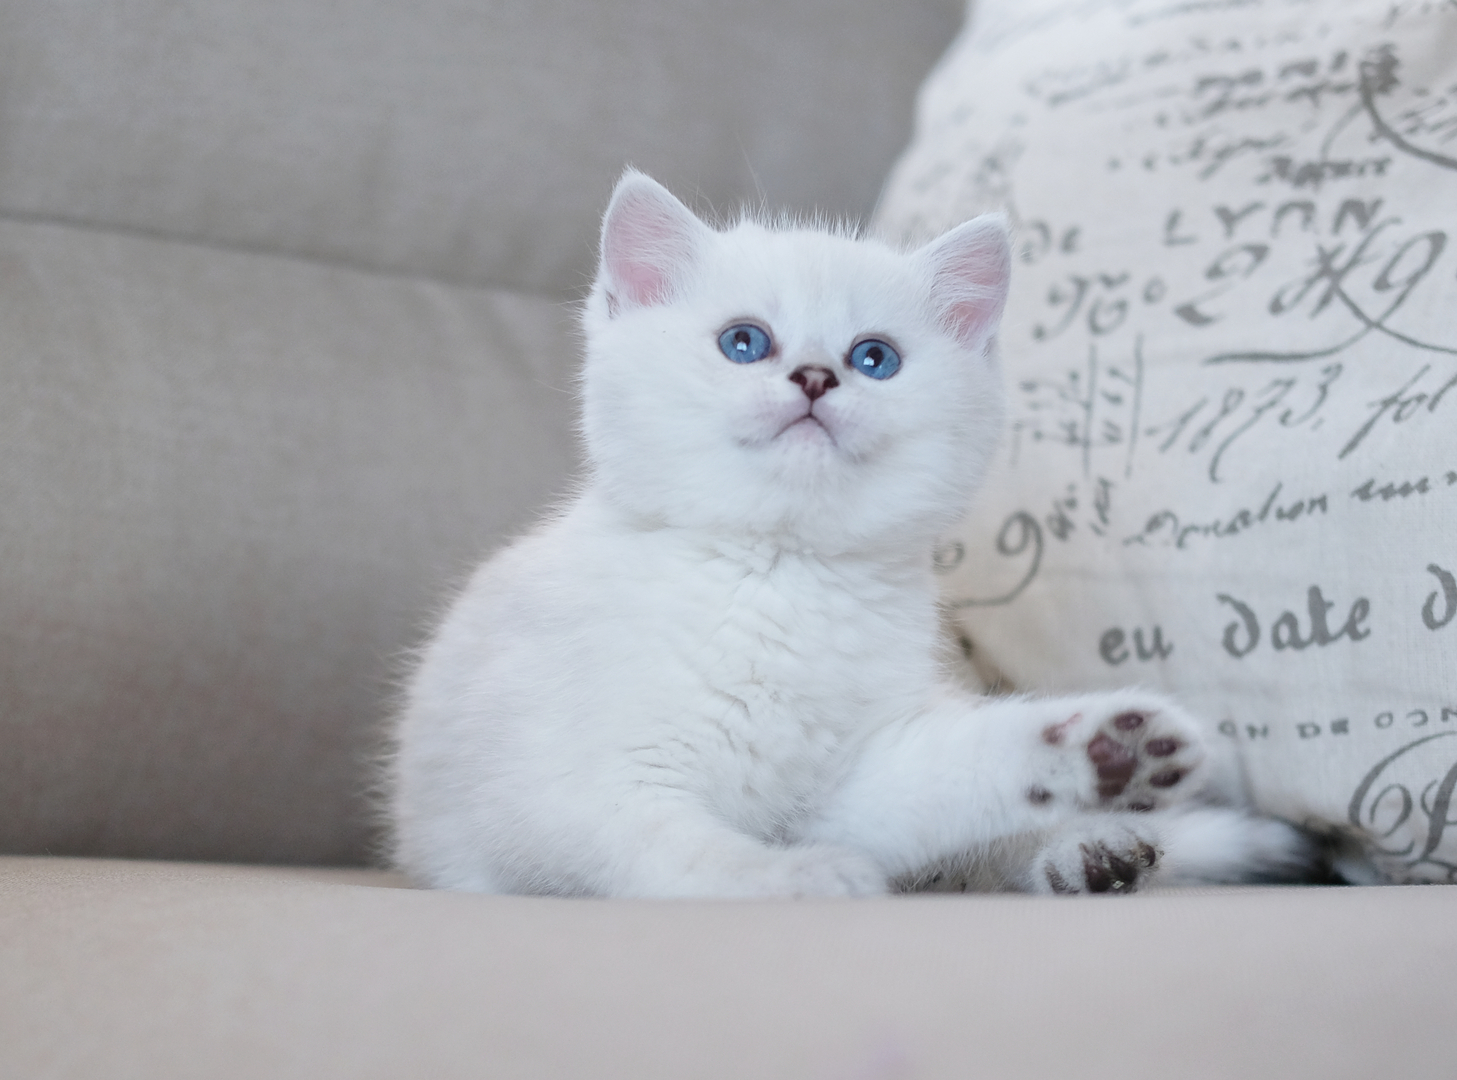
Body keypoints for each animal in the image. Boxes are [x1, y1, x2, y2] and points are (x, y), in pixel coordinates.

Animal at [390, 170, 1311, 891]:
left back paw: (1091, 851)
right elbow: (674, 849)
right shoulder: (561, 798)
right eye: (743, 342)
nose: (814, 376)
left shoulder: (853, 781)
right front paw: (801, 877)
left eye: (875, 359)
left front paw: (1104, 751)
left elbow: (947, 773)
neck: (779, 577)